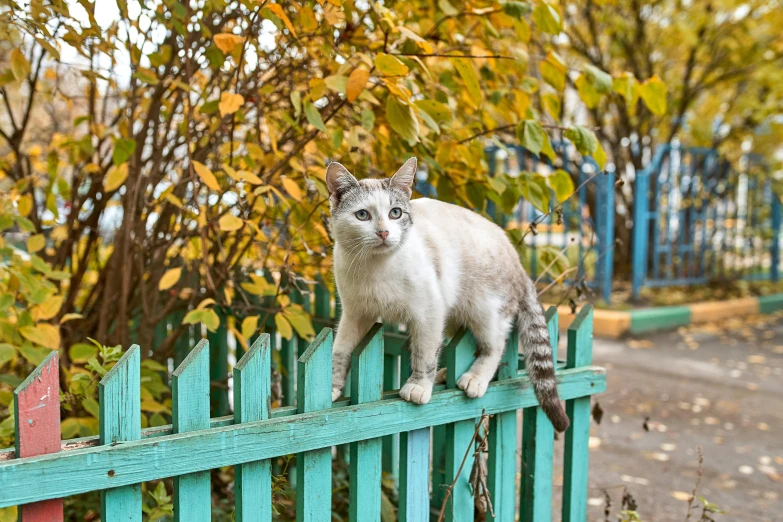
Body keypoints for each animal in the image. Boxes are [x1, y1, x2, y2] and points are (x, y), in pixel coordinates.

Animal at [324, 155, 568, 430]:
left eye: (395, 213)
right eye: (362, 215)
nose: (384, 232)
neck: (375, 267)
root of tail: (519, 263)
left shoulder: (429, 312)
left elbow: (424, 354)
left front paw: (418, 386)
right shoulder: (354, 315)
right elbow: (340, 351)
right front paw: (331, 388)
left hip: (485, 310)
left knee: (494, 346)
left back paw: (474, 378)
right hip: (454, 317)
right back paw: (445, 374)